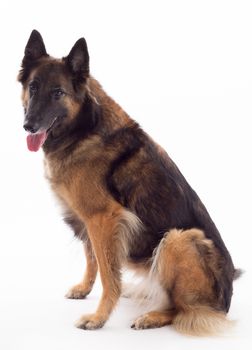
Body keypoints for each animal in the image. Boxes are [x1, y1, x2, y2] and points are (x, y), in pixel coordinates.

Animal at [18, 29, 239, 334]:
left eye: (58, 93)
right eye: (33, 87)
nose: (29, 126)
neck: (84, 126)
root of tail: (225, 302)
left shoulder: (104, 218)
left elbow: (109, 273)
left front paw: (99, 317)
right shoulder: (88, 218)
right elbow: (92, 257)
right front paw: (84, 289)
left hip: (178, 239)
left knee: (184, 309)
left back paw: (153, 316)